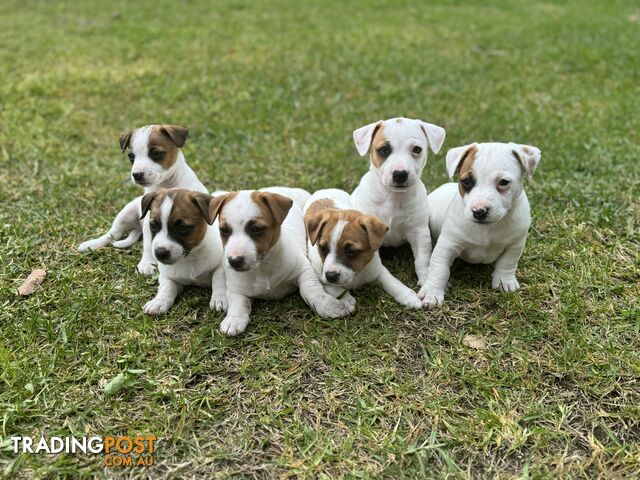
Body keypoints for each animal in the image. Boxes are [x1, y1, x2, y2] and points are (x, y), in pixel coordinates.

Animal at [77, 124, 208, 276]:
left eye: (156, 153)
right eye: (131, 156)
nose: (137, 174)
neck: (166, 184)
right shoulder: (149, 222)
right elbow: (148, 244)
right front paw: (147, 263)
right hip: (126, 213)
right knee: (113, 234)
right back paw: (92, 244)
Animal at [137, 188, 225, 316]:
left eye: (182, 227)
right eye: (153, 225)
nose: (160, 253)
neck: (190, 257)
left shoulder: (222, 265)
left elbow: (218, 278)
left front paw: (219, 299)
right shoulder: (168, 276)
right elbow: (166, 287)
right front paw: (158, 301)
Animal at [208, 186, 356, 336]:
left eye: (256, 229)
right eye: (223, 231)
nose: (234, 261)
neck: (263, 268)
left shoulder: (304, 269)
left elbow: (310, 290)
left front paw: (329, 307)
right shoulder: (236, 288)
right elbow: (238, 303)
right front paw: (234, 318)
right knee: (218, 273)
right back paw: (219, 298)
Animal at [350, 116, 444, 286]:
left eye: (417, 149)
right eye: (383, 150)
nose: (400, 174)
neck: (393, 197)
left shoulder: (419, 232)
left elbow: (422, 260)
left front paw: (426, 282)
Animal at [418, 142, 544, 308]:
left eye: (503, 182)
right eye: (466, 181)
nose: (479, 211)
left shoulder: (515, 245)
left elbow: (508, 262)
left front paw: (505, 281)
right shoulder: (447, 245)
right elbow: (439, 268)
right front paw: (432, 292)